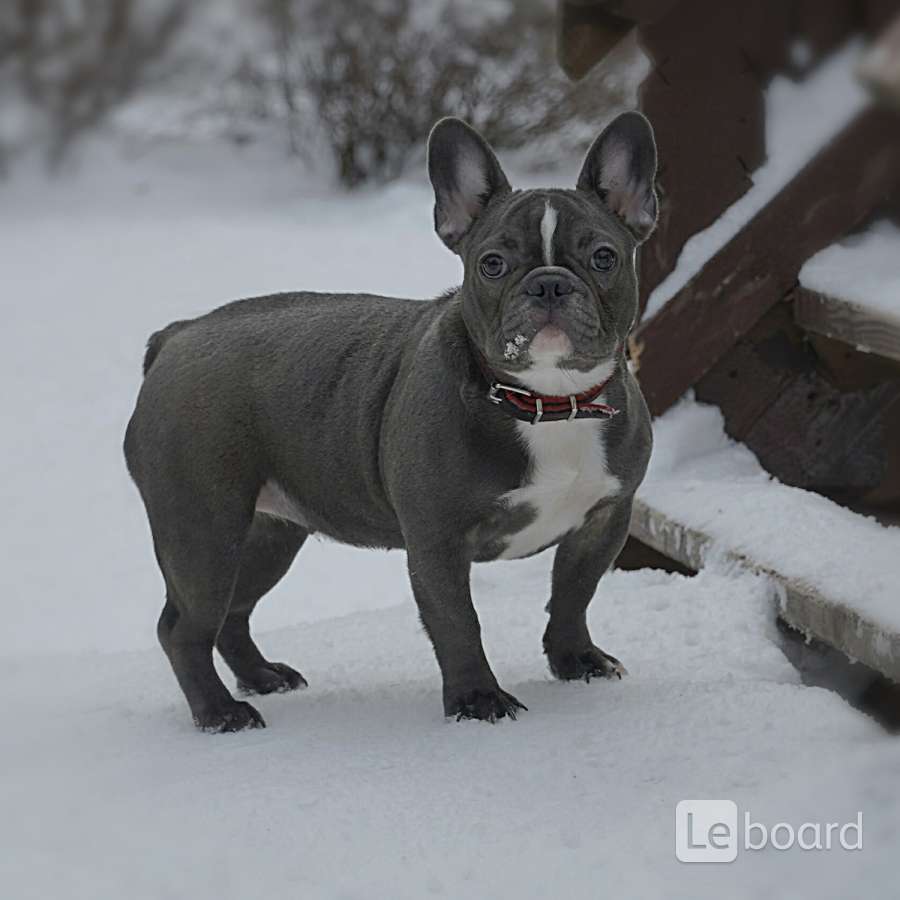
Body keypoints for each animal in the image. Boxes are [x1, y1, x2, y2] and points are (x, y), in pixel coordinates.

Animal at [123, 112, 656, 732]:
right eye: (492, 264)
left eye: (604, 257)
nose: (549, 282)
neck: (548, 401)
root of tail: (177, 336)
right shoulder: (438, 541)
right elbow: (458, 623)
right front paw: (478, 701)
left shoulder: (604, 519)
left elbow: (574, 594)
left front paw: (576, 661)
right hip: (204, 531)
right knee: (185, 628)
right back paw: (221, 714)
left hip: (266, 533)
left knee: (233, 611)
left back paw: (262, 677)